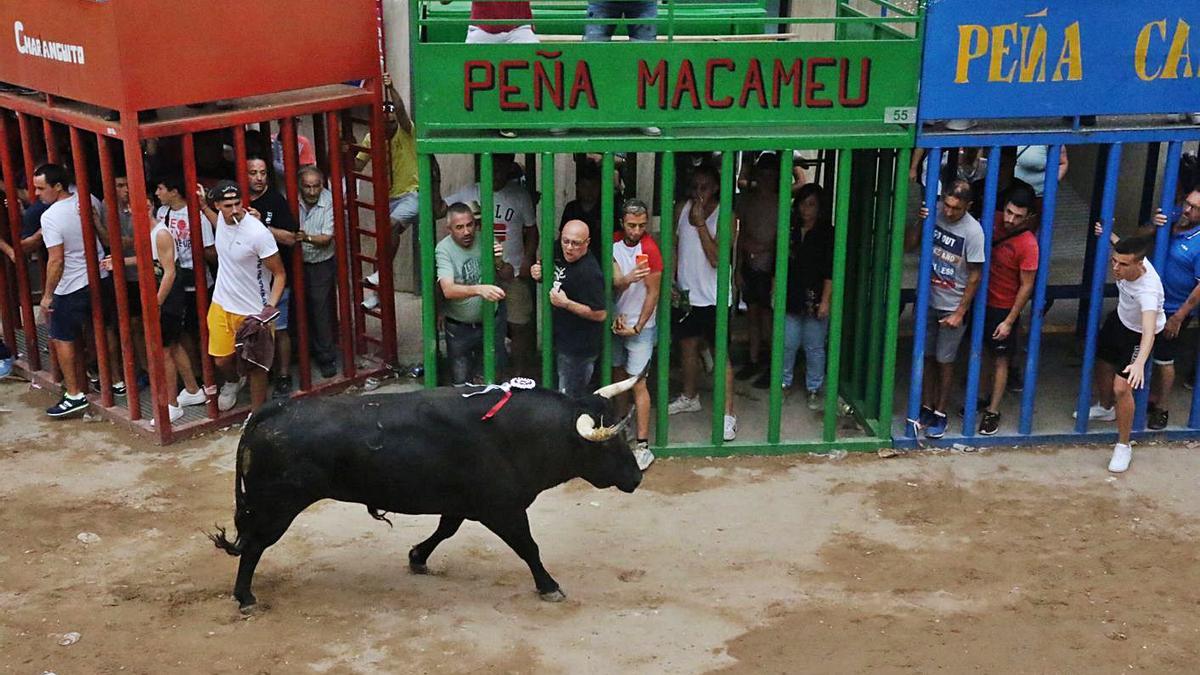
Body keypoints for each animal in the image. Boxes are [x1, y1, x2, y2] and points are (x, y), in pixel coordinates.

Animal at [213, 379, 648, 610]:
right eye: (610, 444)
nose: (636, 477)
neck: (517, 434)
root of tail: (272, 410)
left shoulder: (463, 503)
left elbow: (445, 530)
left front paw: (417, 557)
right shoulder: (503, 509)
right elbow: (529, 547)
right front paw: (549, 585)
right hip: (276, 507)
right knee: (254, 546)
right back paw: (245, 596)